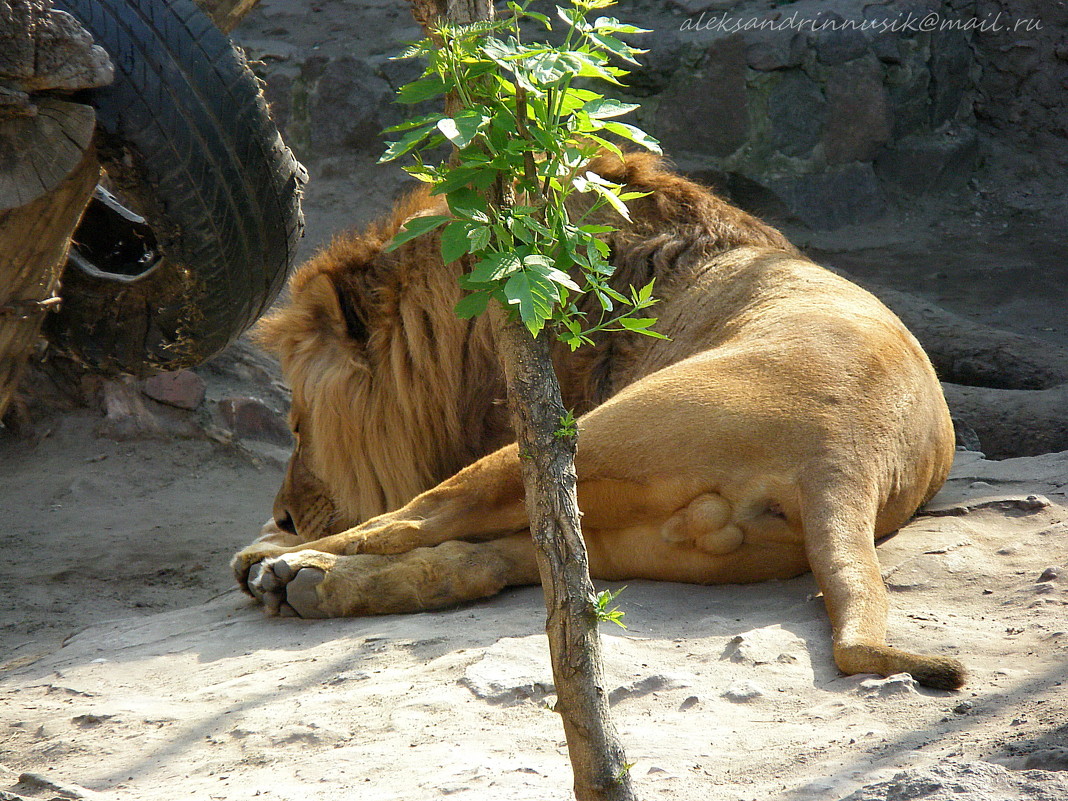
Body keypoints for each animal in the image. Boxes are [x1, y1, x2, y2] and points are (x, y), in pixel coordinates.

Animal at [236, 153, 969, 692]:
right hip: (647, 541)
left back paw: (275, 565)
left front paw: (278, 542)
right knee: (491, 563)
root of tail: (845, 466)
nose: (286, 514)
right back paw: (307, 584)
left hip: (574, 440)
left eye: (297, 425)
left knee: (411, 523)